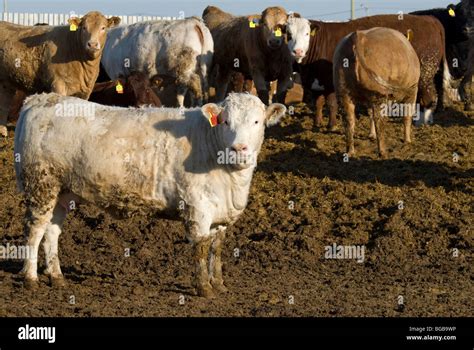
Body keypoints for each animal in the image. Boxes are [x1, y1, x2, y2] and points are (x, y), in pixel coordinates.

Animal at [14, 92, 286, 298]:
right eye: (226, 121)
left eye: (257, 122)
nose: (239, 148)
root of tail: (41, 99)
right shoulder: (197, 207)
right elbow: (200, 248)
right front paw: (204, 288)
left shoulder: (220, 215)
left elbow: (216, 248)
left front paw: (218, 284)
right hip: (41, 184)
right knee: (34, 230)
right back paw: (30, 278)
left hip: (62, 192)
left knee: (52, 232)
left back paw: (57, 276)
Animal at [300, 15, 448, 129]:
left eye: (307, 33)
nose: (297, 51)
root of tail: (429, 19)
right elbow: (318, 102)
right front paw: (317, 123)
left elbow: (331, 103)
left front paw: (331, 125)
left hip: (424, 74)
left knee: (428, 97)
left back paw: (421, 121)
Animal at [336, 27, 420, 159]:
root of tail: (358, 35)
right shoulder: (412, 90)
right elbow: (407, 116)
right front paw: (407, 141)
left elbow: (369, 114)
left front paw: (371, 135)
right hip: (377, 94)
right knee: (379, 120)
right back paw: (383, 152)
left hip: (343, 91)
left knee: (349, 120)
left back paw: (350, 151)